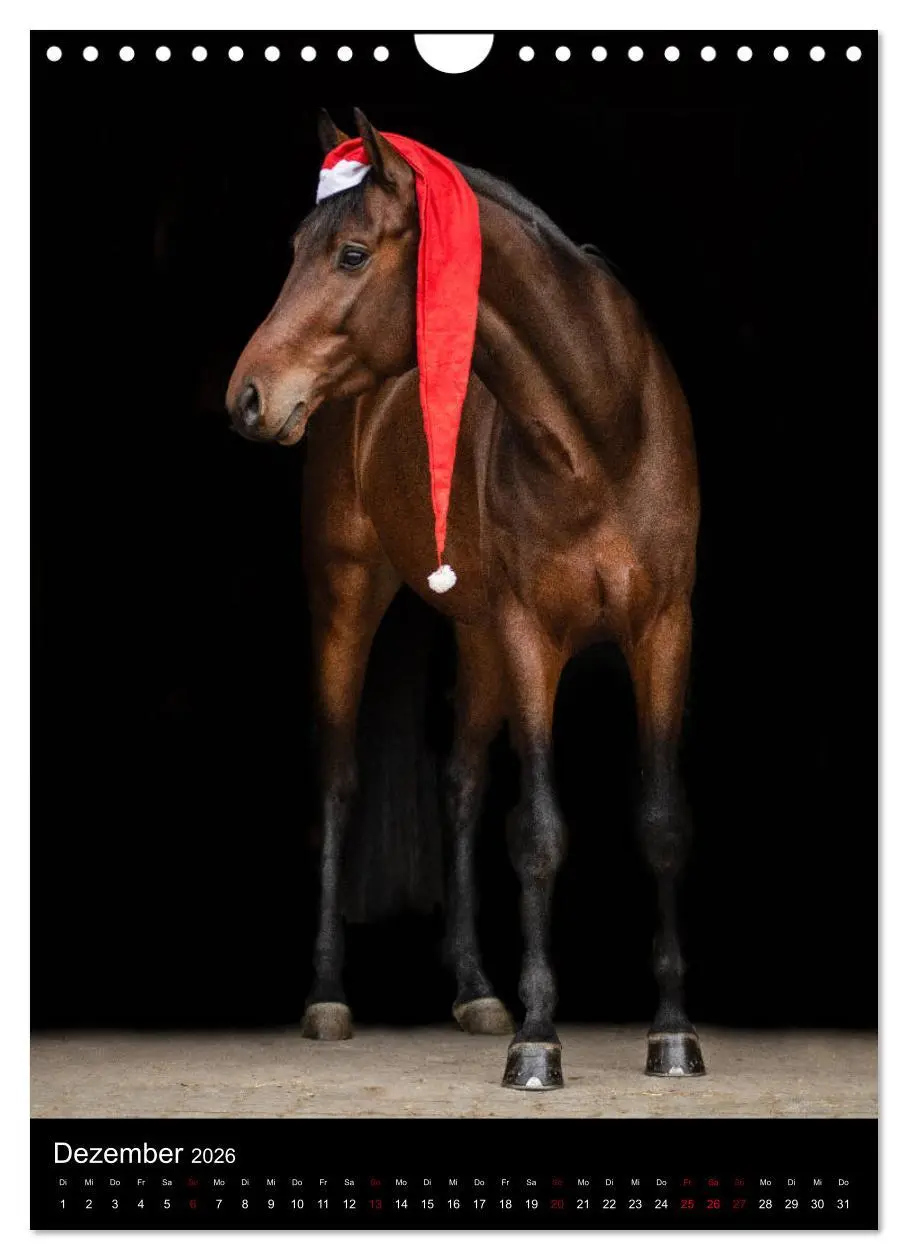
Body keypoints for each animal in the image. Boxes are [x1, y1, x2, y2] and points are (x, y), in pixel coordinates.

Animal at [226, 109, 704, 1089]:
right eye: (295, 248)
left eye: (352, 254)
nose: (247, 396)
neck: (602, 433)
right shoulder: (531, 635)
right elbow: (539, 834)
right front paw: (540, 1041)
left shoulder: (662, 628)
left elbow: (661, 822)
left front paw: (673, 1035)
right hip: (350, 596)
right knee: (339, 783)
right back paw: (328, 996)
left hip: (480, 636)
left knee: (461, 784)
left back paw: (478, 990)